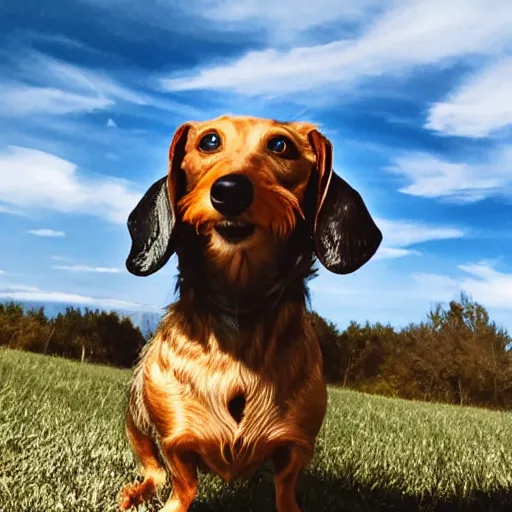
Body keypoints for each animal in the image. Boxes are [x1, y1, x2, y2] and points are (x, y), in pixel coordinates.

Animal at [120, 116, 382, 512]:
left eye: (280, 145)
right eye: (209, 141)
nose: (230, 191)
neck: (239, 310)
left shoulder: (295, 446)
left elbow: (285, 490)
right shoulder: (175, 442)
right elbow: (182, 485)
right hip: (135, 417)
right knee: (154, 471)